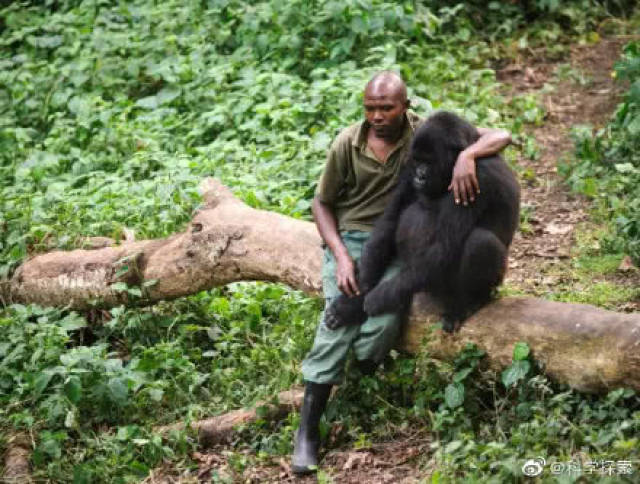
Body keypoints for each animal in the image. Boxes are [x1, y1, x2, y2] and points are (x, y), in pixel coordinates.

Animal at [324, 111, 520, 330]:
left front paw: (379, 297)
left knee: (481, 241)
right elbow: (389, 222)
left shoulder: (476, 174)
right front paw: (353, 301)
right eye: (418, 161)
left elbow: (443, 246)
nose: (419, 176)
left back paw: (469, 303)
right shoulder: (408, 166)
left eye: (429, 162)